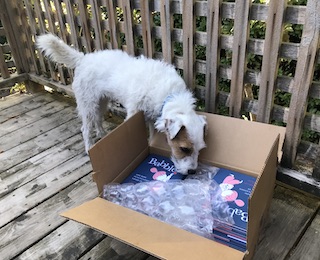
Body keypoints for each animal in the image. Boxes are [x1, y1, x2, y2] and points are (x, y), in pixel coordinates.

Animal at [36, 33, 208, 175]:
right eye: (184, 148)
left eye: (200, 149)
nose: (192, 172)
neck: (169, 94)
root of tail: (83, 58)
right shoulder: (134, 113)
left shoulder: (153, 118)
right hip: (88, 105)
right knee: (85, 129)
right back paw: (89, 148)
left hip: (101, 102)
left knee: (98, 119)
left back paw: (102, 134)